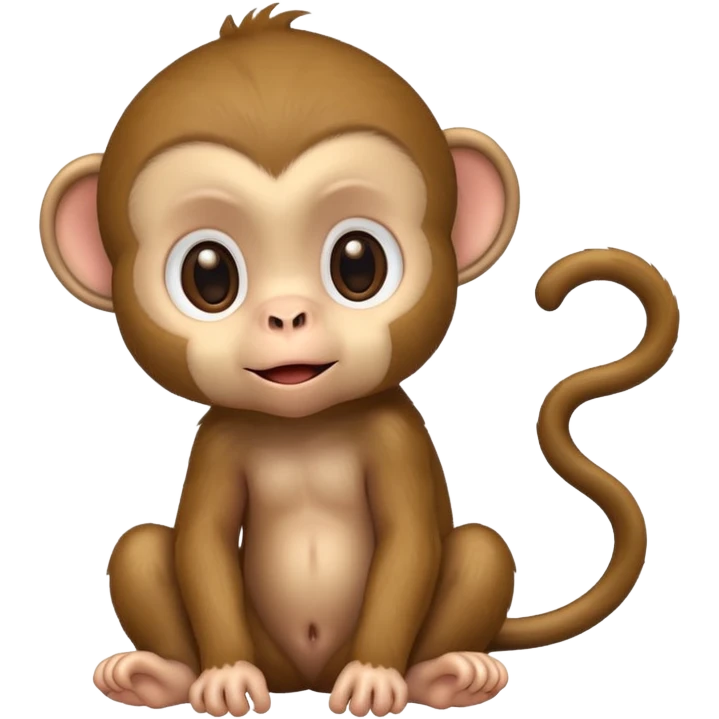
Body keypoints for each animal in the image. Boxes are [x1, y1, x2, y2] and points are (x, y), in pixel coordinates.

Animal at [38, 5, 680, 717]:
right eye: (209, 276)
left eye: (357, 264)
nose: (287, 315)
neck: (305, 427)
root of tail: (308, 677)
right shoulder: (219, 439)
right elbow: (202, 542)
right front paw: (224, 675)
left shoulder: (394, 433)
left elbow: (408, 541)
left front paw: (375, 677)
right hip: (263, 648)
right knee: (142, 547)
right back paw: (162, 677)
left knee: (482, 551)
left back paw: (445, 674)